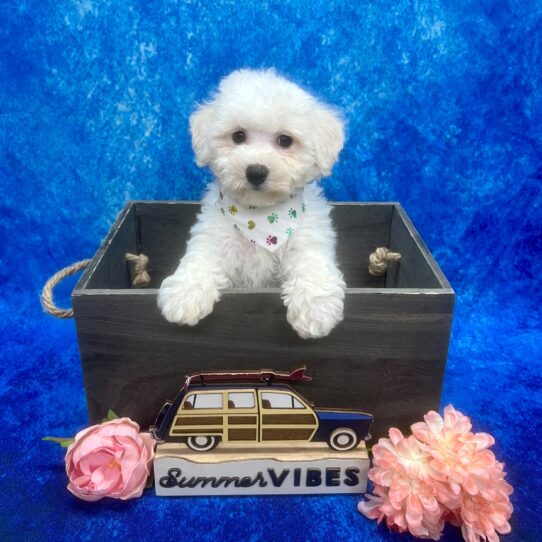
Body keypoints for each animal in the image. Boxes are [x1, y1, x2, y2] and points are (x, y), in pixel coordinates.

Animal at [159, 69, 348, 340]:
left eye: (285, 140)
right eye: (238, 136)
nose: (256, 172)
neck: (261, 218)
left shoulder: (309, 242)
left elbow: (312, 268)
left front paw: (315, 311)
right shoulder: (213, 238)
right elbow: (200, 260)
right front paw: (184, 295)